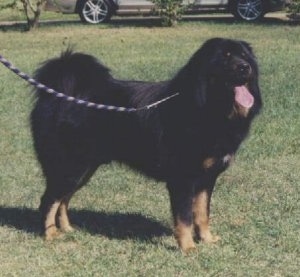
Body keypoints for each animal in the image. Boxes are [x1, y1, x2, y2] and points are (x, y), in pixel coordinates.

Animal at [29, 37, 260, 251]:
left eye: (244, 56)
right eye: (225, 57)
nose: (244, 67)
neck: (207, 107)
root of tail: (59, 93)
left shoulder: (207, 178)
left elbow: (202, 213)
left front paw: (207, 239)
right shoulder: (183, 179)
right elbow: (185, 218)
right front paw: (188, 247)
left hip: (83, 170)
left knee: (63, 199)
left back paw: (67, 228)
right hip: (69, 166)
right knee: (48, 200)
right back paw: (50, 234)